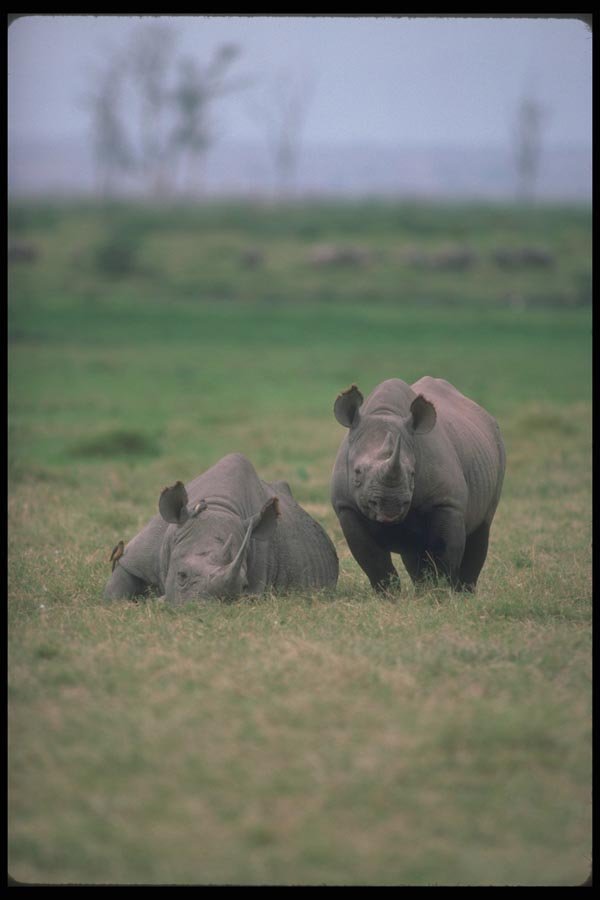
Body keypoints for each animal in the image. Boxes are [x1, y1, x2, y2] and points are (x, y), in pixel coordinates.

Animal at [105, 453, 339, 602]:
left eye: (243, 585)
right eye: (181, 575)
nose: (200, 608)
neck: (217, 506)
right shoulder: (141, 551)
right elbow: (116, 588)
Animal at [331, 377, 505, 592]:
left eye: (412, 473)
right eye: (357, 472)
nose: (390, 504)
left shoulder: (447, 502)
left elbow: (444, 553)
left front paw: (441, 592)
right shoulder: (346, 506)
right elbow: (373, 559)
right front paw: (389, 595)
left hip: (497, 445)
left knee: (481, 529)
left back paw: (464, 593)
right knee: (413, 553)